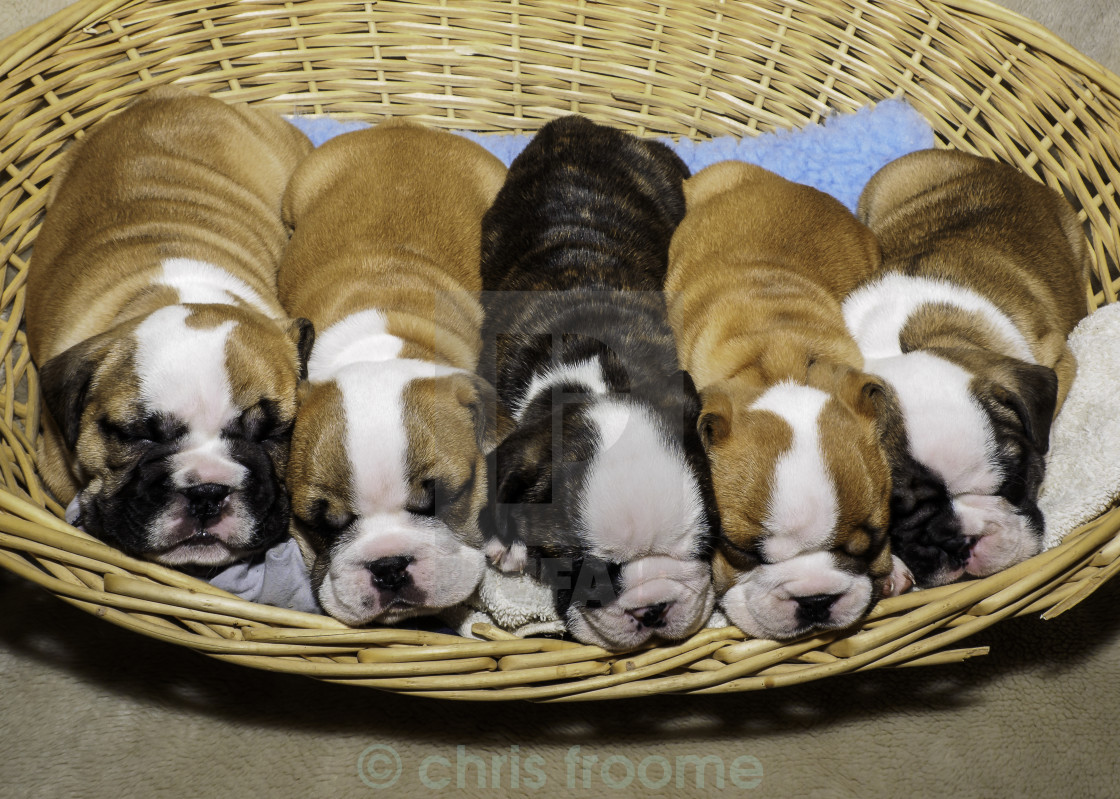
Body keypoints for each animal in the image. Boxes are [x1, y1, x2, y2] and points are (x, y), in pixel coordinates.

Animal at [477, 113, 712, 649]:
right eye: (584, 572)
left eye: (706, 547)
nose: (653, 607)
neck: (592, 378)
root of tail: (575, 123)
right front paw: (508, 543)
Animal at [842, 150, 1088, 587]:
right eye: (895, 517)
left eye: (1014, 484)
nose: (956, 541)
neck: (903, 345)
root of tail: (999, 167)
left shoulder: (1058, 358)